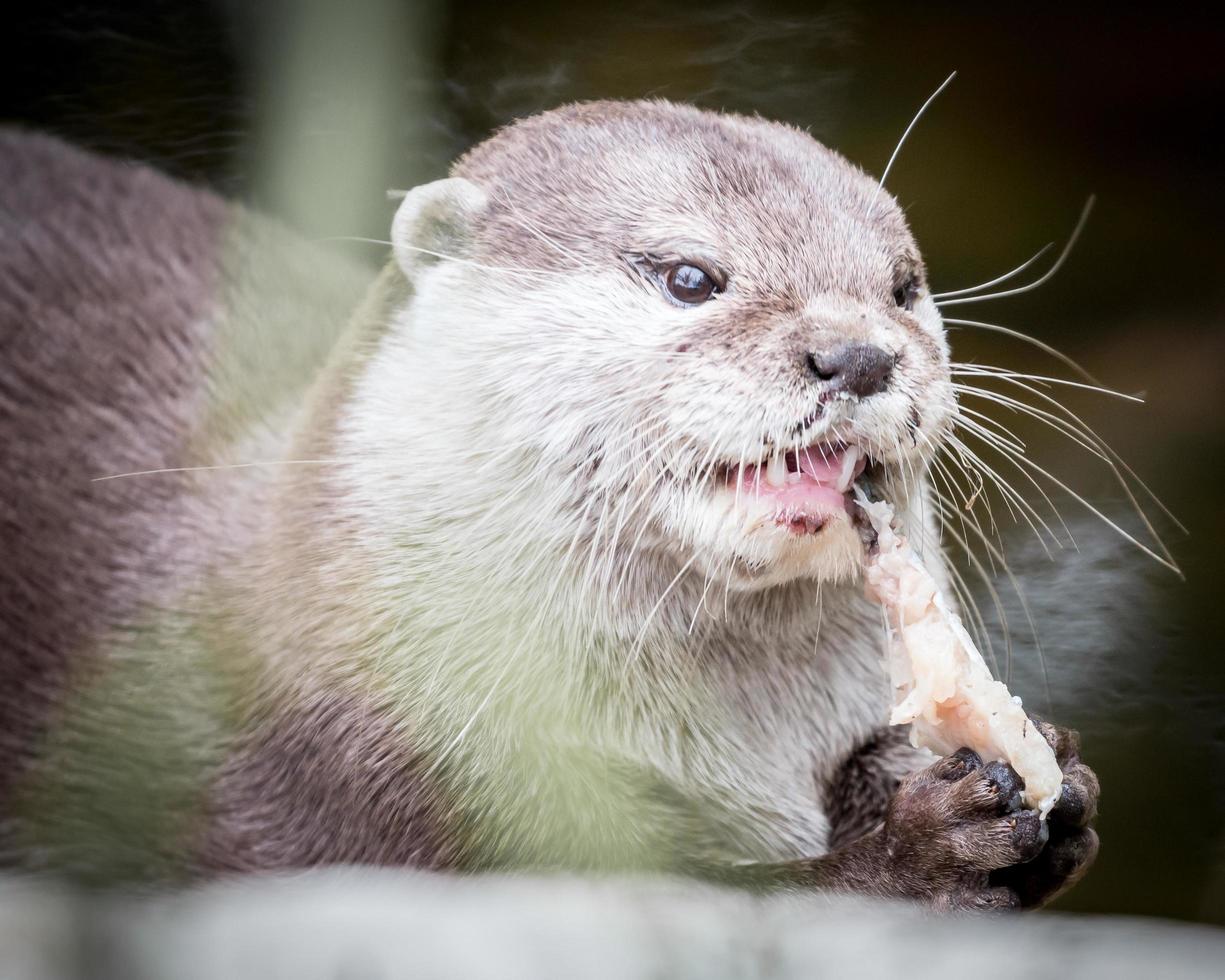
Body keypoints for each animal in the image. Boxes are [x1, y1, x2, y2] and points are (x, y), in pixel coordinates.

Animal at [0, 103, 1097, 906]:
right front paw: (917, 846)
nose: (858, 352)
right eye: (690, 275)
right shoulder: (363, 801)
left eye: (904, 286)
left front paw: (1048, 778)